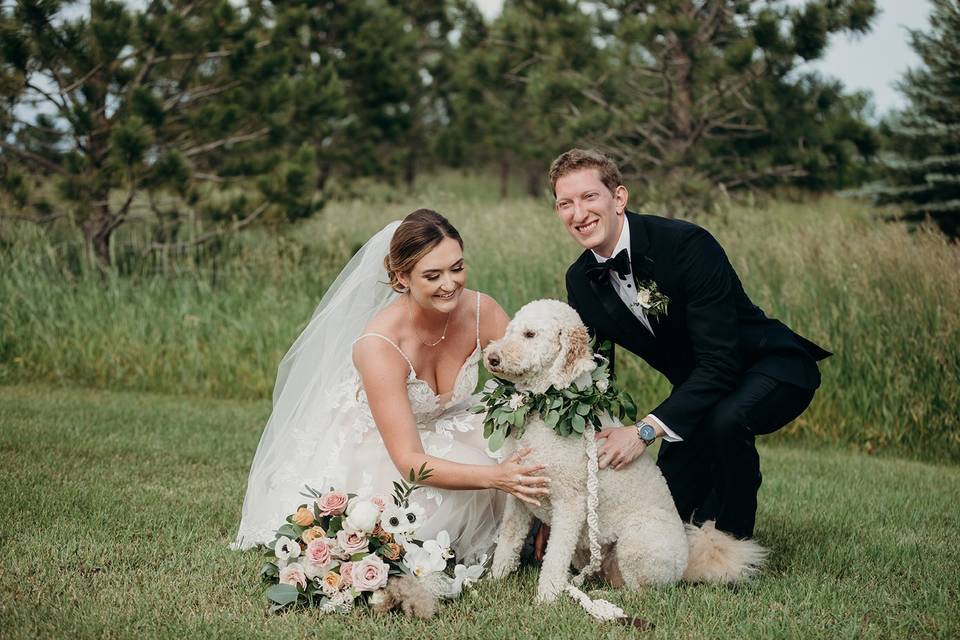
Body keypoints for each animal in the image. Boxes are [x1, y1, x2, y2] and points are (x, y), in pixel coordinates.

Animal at [484, 298, 768, 604]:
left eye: (530, 334)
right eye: (511, 331)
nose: (492, 357)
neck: (544, 408)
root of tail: (687, 562)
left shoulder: (570, 503)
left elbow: (555, 555)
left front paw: (546, 597)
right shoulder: (520, 492)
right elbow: (509, 539)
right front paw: (495, 579)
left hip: (638, 540)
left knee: (641, 592)